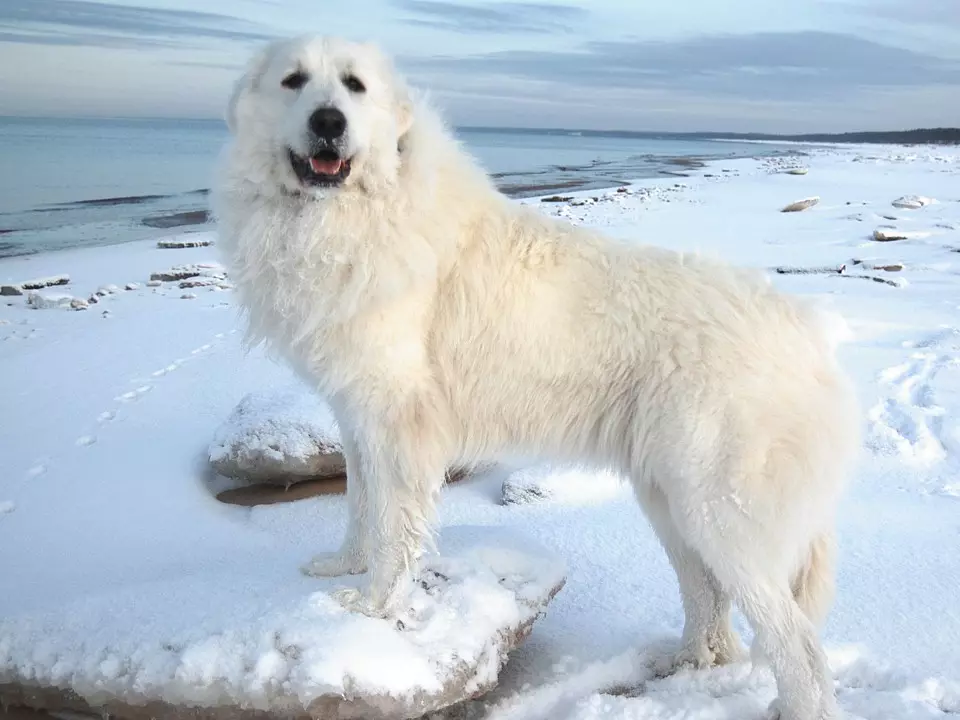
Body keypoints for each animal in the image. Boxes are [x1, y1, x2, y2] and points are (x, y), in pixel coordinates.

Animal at [216, 36, 864, 720]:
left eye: (354, 86)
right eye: (293, 81)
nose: (328, 122)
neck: (355, 212)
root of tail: (811, 337)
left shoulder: (398, 426)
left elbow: (393, 531)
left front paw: (370, 611)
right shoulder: (357, 417)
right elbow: (359, 507)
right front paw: (343, 567)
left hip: (721, 513)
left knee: (799, 647)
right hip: (672, 501)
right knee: (712, 608)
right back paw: (681, 668)